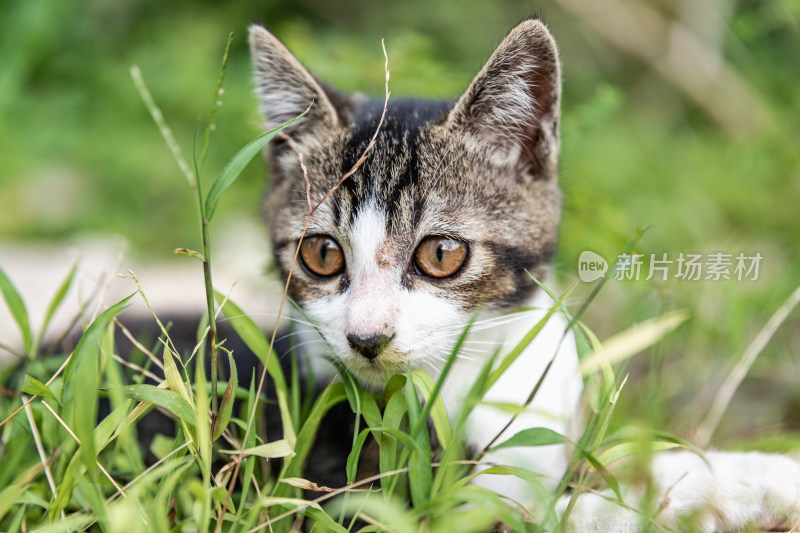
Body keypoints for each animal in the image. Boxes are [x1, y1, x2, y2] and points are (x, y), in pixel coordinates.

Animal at [250, 18, 800, 528]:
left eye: (441, 254)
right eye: (322, 254)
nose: (366, 338)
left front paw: (759, 473)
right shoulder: (361, 495)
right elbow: (554, 508)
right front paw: (716, 490)